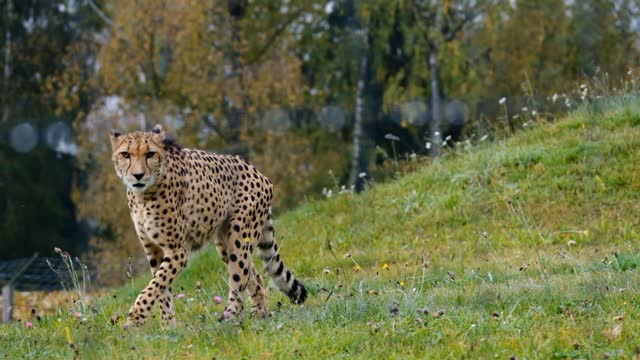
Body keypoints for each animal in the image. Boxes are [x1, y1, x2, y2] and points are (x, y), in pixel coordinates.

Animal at [109, 124, 306, 330]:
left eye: (150, 154)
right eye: (125, 154)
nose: (137, 175)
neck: (144, 195)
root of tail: (255, 169)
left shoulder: (177, 250)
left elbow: (156, 284)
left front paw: (135, 318)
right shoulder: (153, 250)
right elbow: (161, 289)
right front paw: (168, 326)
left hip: (238, 236)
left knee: (239, 277)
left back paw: (229, 316)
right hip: (224, 243)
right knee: (254, 276)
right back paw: (259, 314)